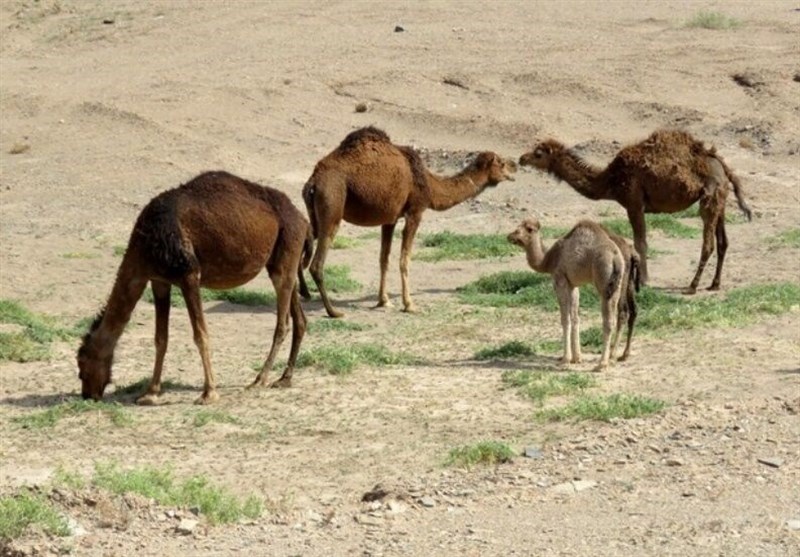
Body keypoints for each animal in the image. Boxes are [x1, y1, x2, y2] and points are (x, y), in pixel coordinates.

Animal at [77, 169, 310, 404]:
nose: (88, 395)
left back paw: (259, 380)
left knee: (282, 323)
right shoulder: (159, 280)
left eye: (82, 365)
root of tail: (303, 220)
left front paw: (209, 393)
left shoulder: (189, 275)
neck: (145, 243)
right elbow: (161, 338)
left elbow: (200, 334)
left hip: (287, 247)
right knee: (299, 317)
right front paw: (150, 393)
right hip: (282, 261)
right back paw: (284, 378)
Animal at [296, 126, 516, 318]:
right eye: (501, 163)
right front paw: (409, 304)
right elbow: (405, 259)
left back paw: (304, 295)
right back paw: (333, 311)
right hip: (332, 205)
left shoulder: (389, 218)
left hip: (316, 215)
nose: (515, 166)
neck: (428, 183)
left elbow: (383, 259)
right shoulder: (415, 212)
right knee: (316, 264)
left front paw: (383, 300)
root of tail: (313, 181)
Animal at [506, 217, 632, 370]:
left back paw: (602, 364)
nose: (510, 236)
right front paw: (577, 358)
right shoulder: (573, 285)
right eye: (517, 227)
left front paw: (565, 359)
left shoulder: (560, 279)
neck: (548, 260)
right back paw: (611, 358)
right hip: (618, 284)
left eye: (527, 229)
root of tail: (616, 258)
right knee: (618, 314)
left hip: (603, 279)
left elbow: (565, 319)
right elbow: (575, 317)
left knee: (608, 320)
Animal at [516, 130, 752, 294]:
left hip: (709, 198)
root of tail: (722, 165)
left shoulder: (634, 203)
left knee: (708, 244)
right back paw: (714, 284)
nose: (521, 158)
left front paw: (645, 281)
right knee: (723, 242)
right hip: (720, 200)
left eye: (538, 153)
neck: (609, 180)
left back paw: (692, 286)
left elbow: (640, 243)